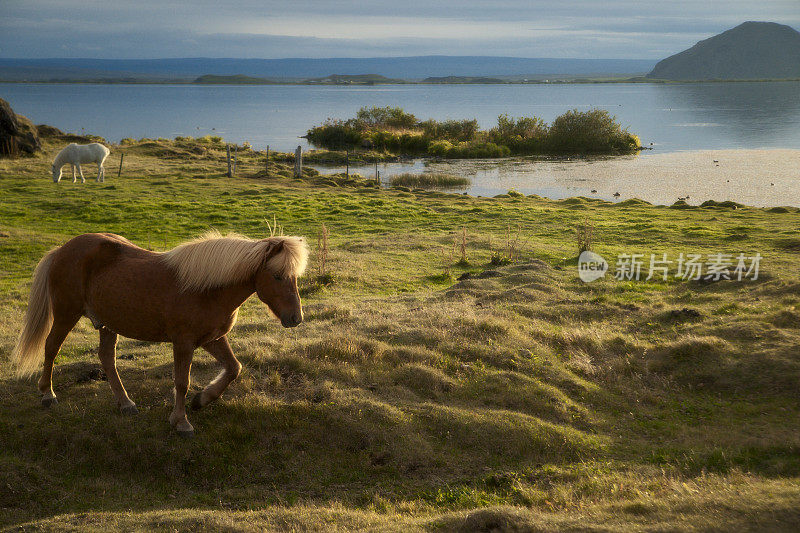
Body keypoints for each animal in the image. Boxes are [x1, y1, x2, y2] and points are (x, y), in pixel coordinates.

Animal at [10, 231, 308, 434]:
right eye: (277, 276)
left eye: (294, 277)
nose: (295, 318)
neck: (207, 290)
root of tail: (62, 249)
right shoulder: (184, 343)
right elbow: (182, 381)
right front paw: (181, 421)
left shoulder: (212, 338)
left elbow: (234, 368)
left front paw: (202, 400)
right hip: (66, 314)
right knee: (51, 347)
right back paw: (48, 394)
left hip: (106, 324)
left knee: (107, 359)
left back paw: (125, 403)